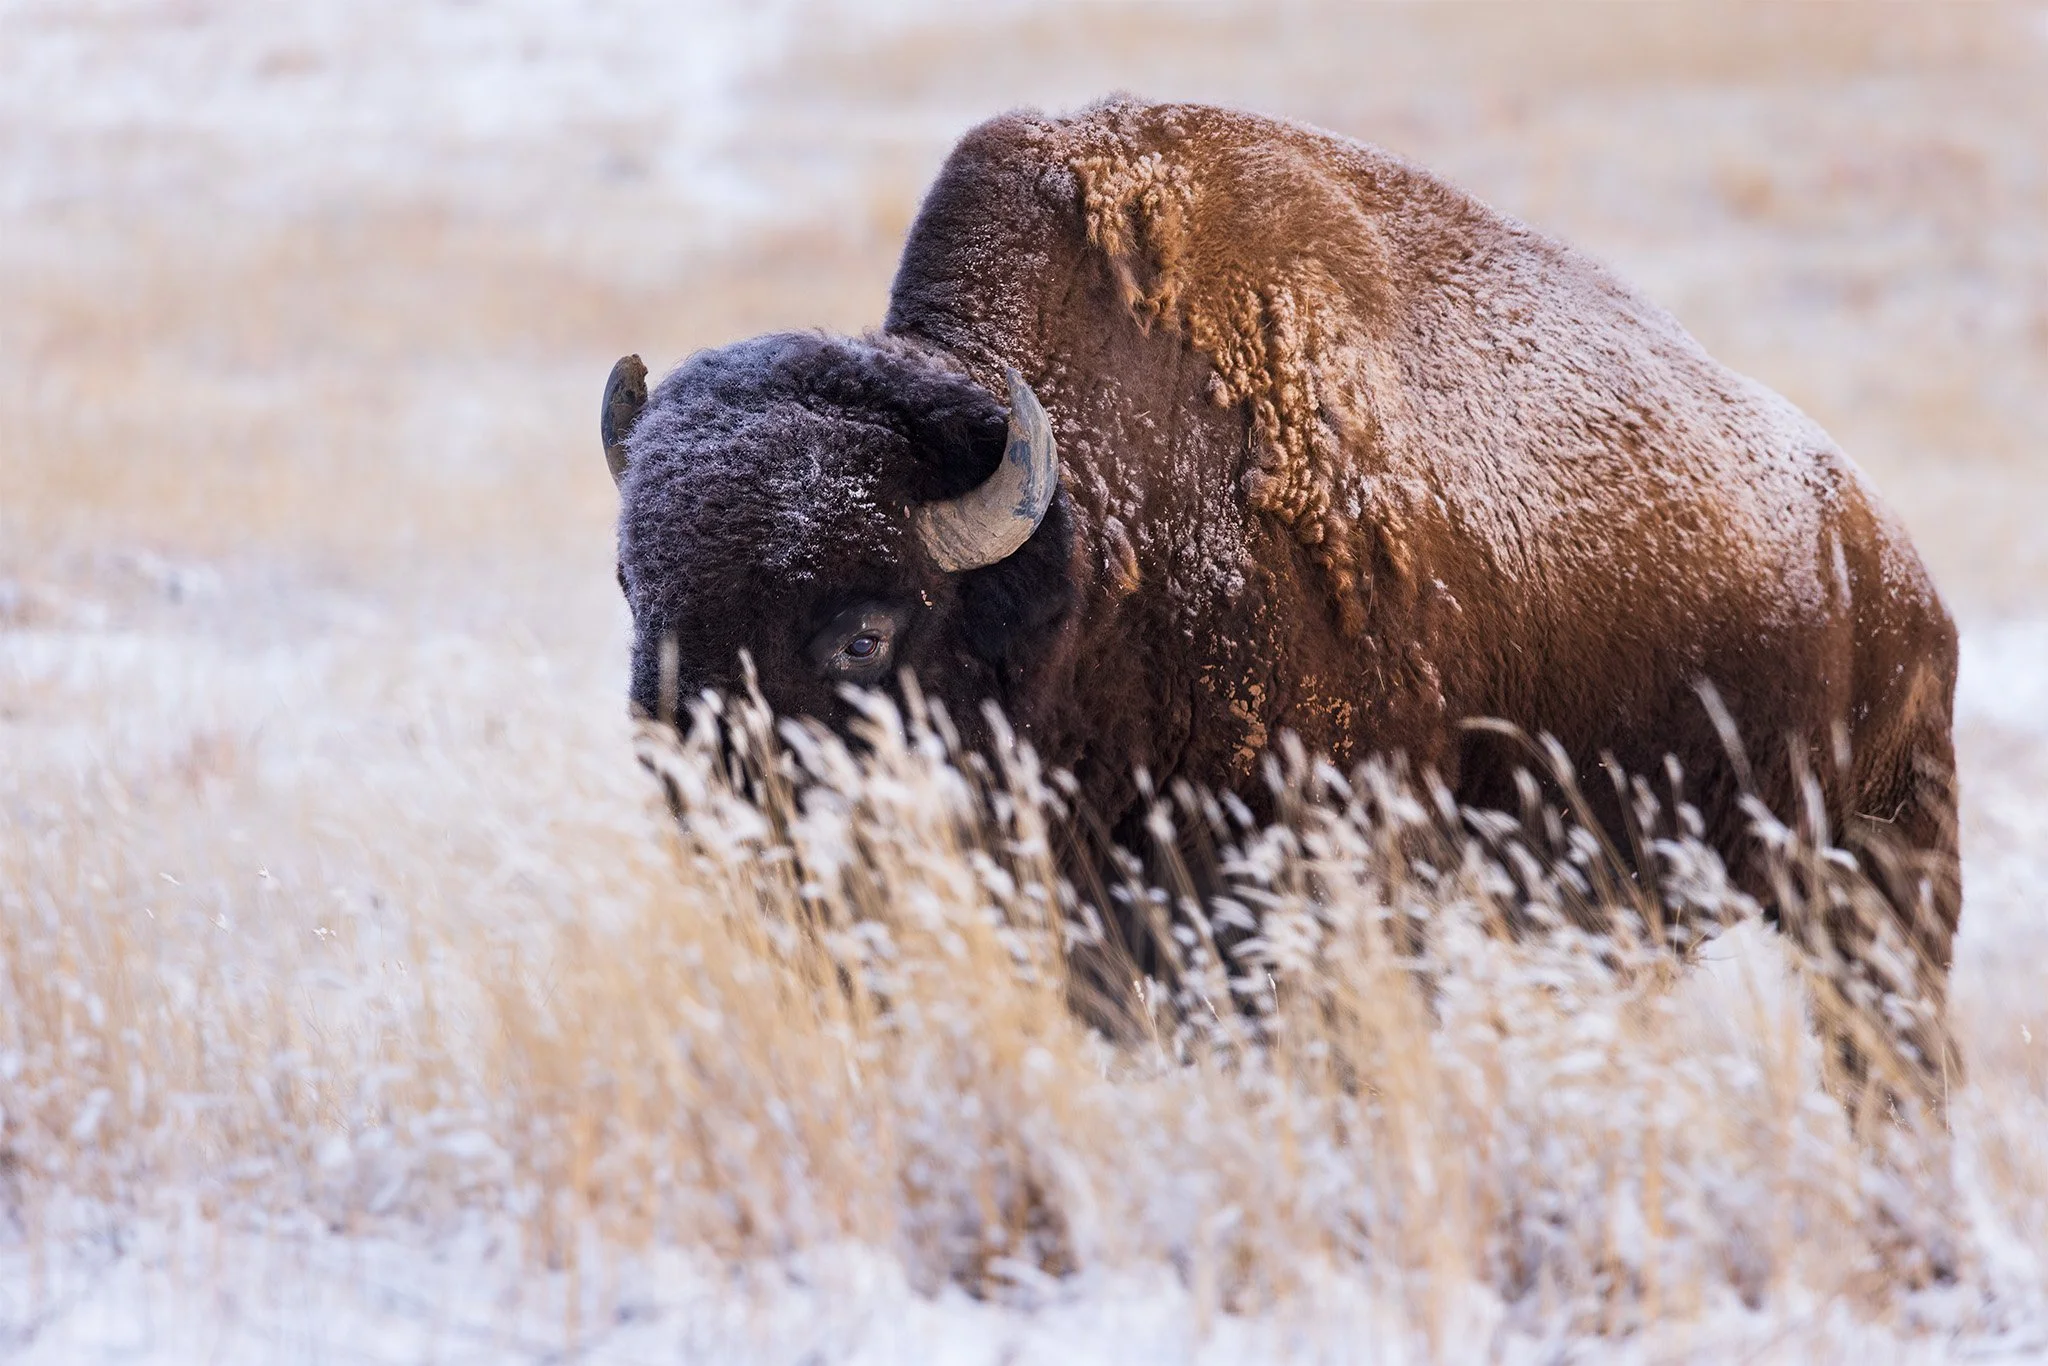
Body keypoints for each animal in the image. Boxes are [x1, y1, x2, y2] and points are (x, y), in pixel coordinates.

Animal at [603, 99, 1960, 1106]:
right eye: (638, 600)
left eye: (864, 631)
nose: (718, 827)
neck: (1089, 536)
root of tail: (1883, 550)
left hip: (1881, 870)